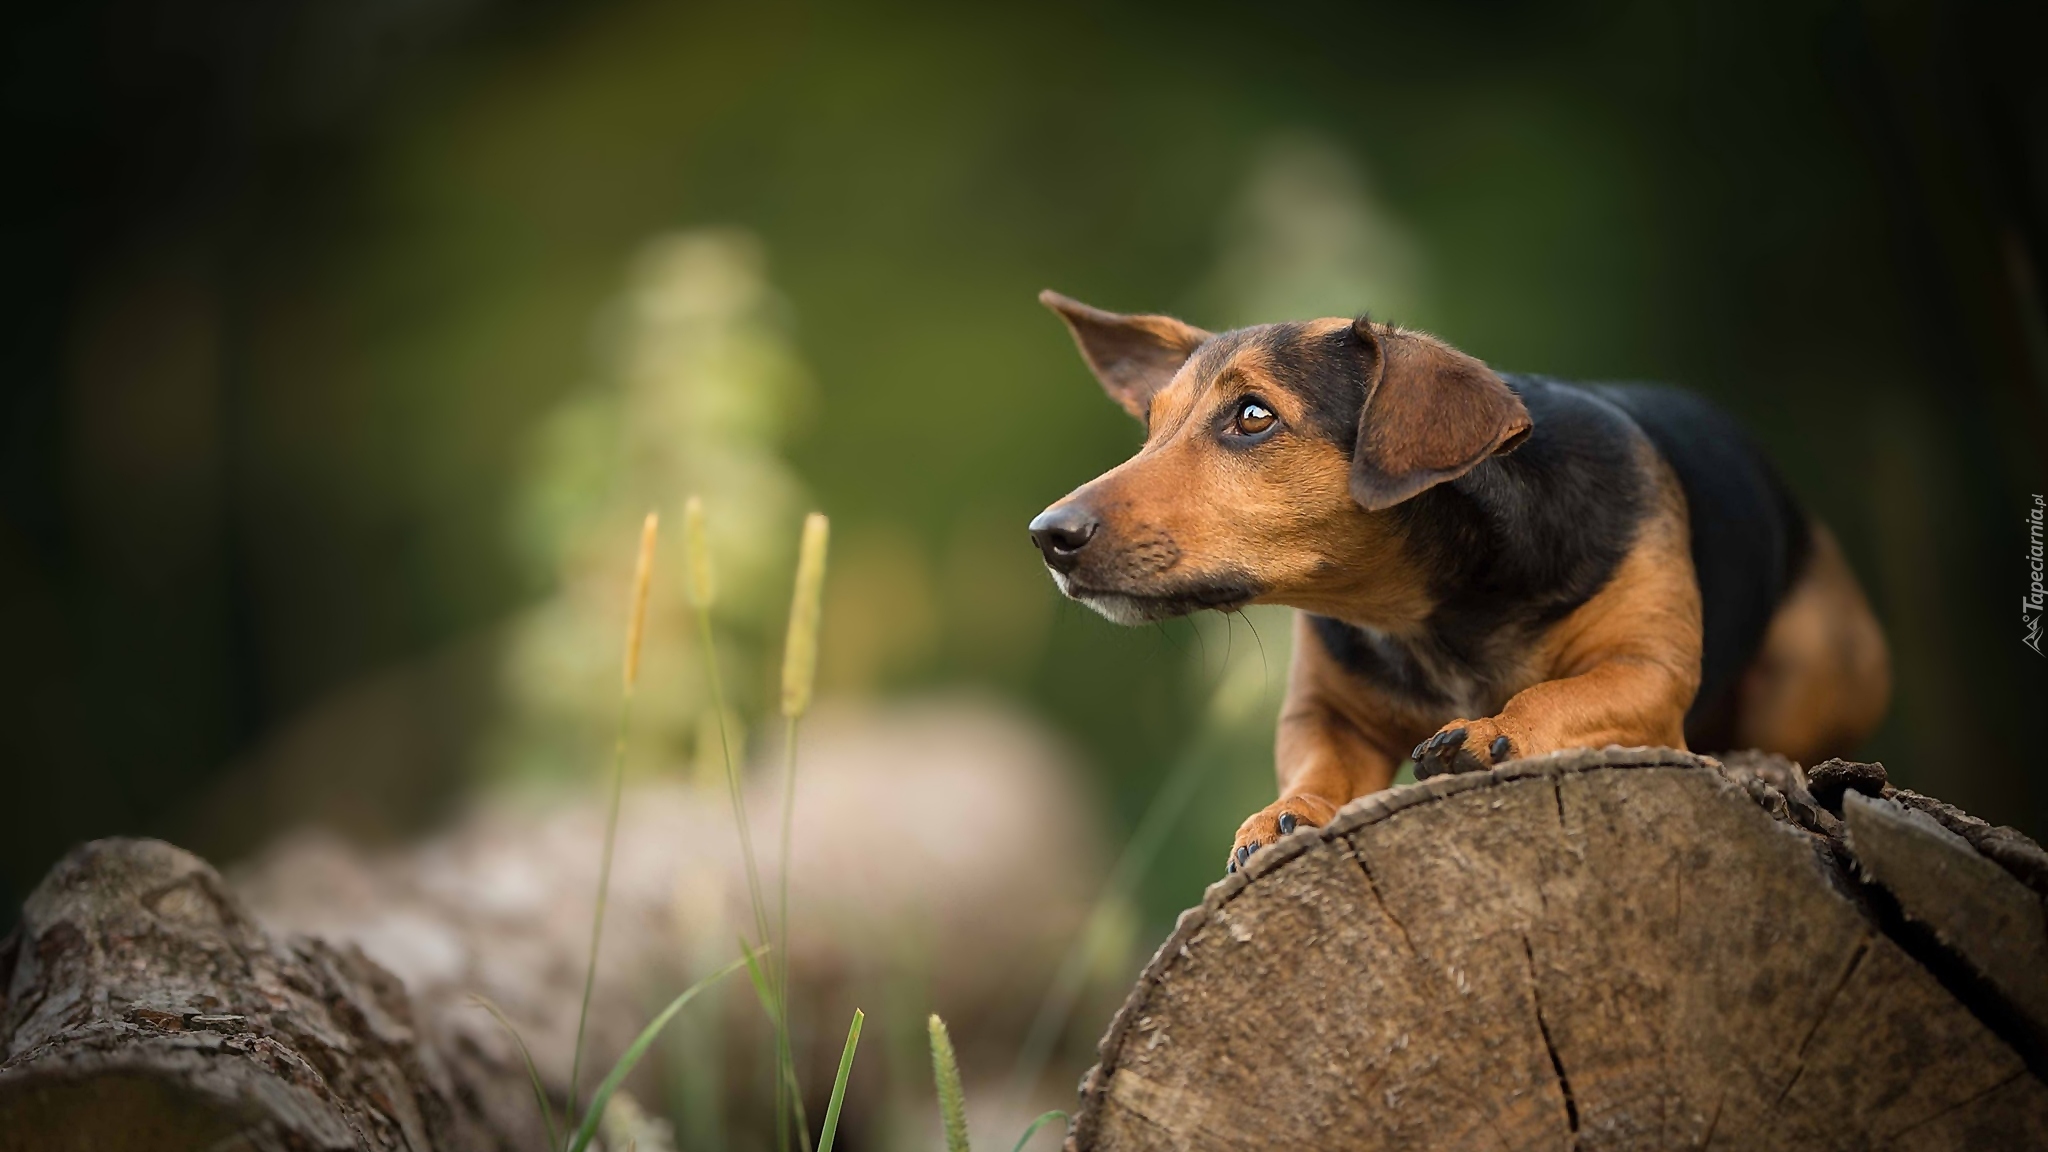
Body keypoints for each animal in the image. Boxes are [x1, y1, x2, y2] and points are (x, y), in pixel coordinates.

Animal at [1032, 291, 1892, 865]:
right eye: (1149, 428)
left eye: (1252, 416)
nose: (1049, 536)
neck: (1427, 612)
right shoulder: (1324, 710)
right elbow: (1316, 763)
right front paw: (1287, 812)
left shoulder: (1649, 672)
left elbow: (1562, 695)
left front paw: (1488, 733)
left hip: (1821, 663)